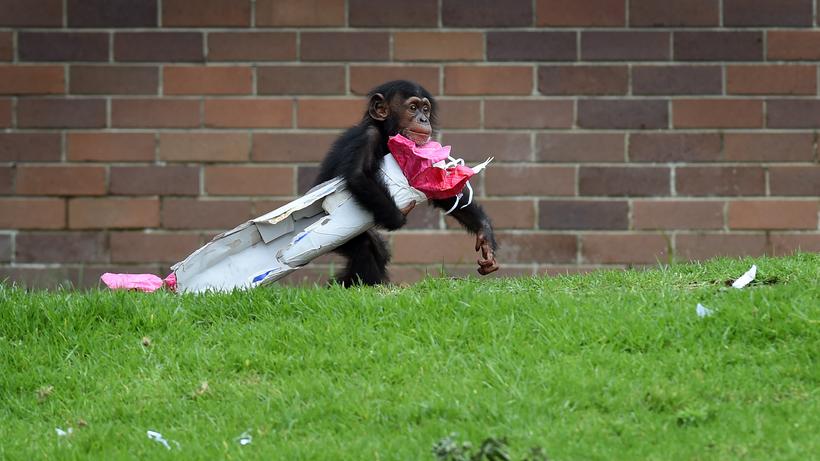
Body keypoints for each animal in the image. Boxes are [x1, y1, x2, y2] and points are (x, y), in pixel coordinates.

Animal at [316, 81, 500, 286]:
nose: (423, 119)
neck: (386, 134)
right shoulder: (367, 137)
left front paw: (485, 234)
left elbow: (438, 189)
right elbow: (358, 175)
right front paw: (398, 216)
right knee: (364, 246)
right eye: (412, 108)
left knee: (377, 251)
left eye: (426, 109)